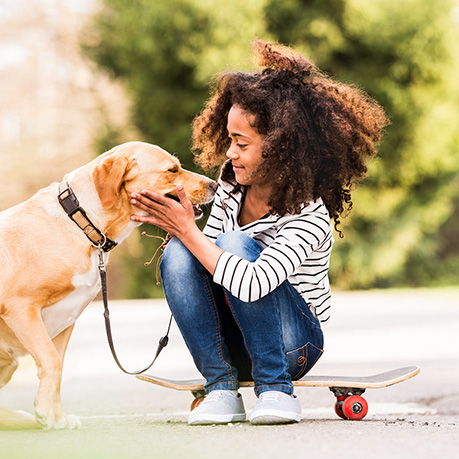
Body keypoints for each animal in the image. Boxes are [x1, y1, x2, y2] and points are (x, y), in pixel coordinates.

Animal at [0, 142, 217, 430]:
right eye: (172, 170)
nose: (215, 184)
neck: (81, 223)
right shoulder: (20, 307)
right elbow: (51, 360)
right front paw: (46, 412)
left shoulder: (65, 322)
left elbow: (58, 365)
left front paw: (56, 417)